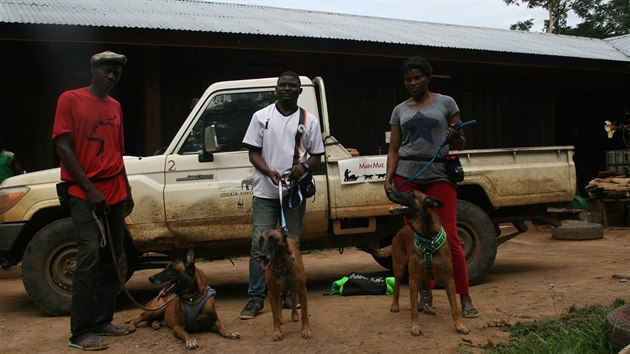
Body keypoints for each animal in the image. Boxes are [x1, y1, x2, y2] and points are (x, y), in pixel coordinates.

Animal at [370, 188, 470, 334]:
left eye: (411, 193)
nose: (388, 189)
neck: (428, 237)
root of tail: (400, 231)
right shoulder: (412, 279)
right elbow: (413, 309)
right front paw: (415, 326)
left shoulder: (448, 279)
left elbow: (455, 307)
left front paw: (460, 325)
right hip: (400, 269)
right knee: (397, 288)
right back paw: (395, 305)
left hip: (421, 276)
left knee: (423, 292)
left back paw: (427, 307)